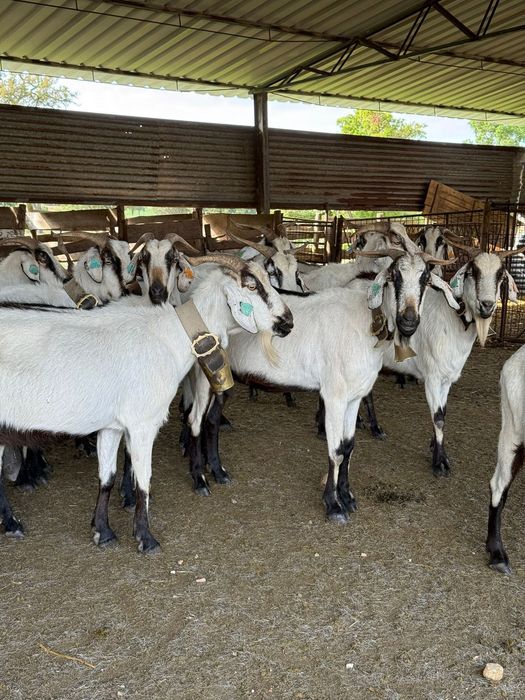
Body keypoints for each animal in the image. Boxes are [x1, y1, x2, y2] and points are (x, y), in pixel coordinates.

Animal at [0, 254, 292, 550]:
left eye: (269, 278)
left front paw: (103, 532)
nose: (288, 322)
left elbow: (107, 477)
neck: (171, 337)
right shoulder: (143, 424)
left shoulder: (112, 426)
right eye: (252, 286)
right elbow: (144, 479)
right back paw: (12, 523)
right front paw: (145, 537)